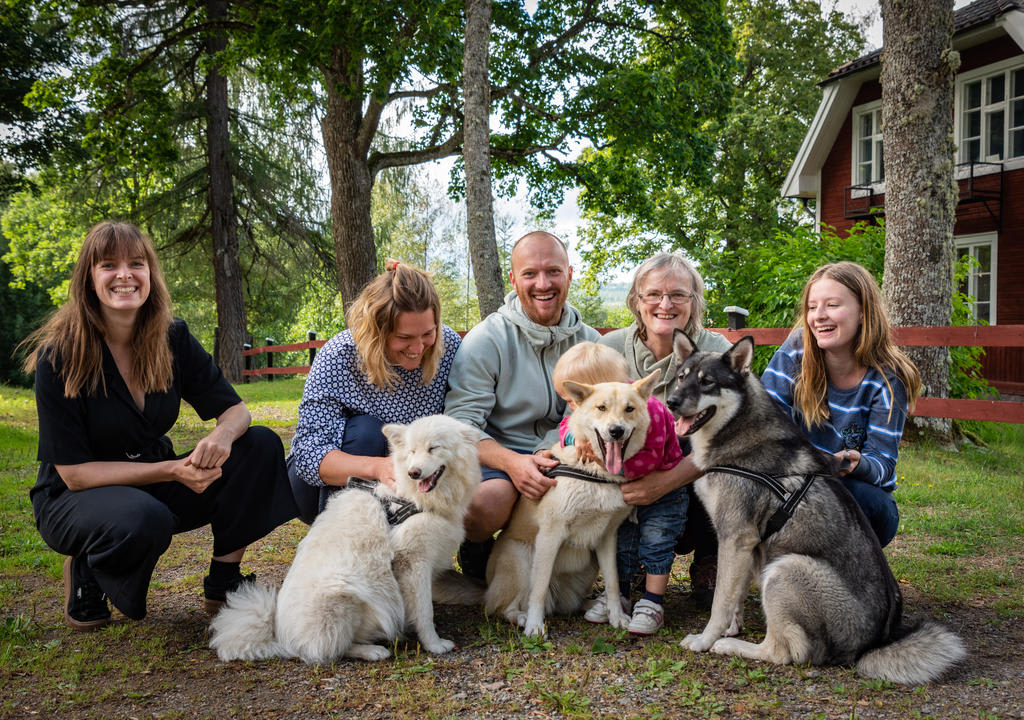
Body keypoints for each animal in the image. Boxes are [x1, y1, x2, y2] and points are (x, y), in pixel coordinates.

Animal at [209, 417, 481, 663]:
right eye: (412, 451)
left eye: (433, 448)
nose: (413, 472)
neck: (413, 500)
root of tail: (280, 636)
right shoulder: (414, 561)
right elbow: (425, 611)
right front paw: (434, 644)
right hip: (346, 595)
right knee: (331, 649)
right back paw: (373, 651)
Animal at [483, 372, 659, 634]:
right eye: (601, 408)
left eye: (629, 409)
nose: (616, 431)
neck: (596, 473)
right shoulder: (550, 535)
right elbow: (539, 588)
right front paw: (534, 625)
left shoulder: (608, 537)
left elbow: (614, 583)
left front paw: (616, 616)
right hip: (521, 558)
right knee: (503, 608)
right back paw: (522, 617)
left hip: (586, 569)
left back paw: (592, 606)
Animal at [667, 331, 962, 688]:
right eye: (681, 377)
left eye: (707, 382)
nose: (671, 402)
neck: (736, 430)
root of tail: (869, 646)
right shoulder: (747, 545)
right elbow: (733, 596)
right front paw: (732, 627)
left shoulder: (736, 538)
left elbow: (721, 603)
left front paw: (708, 639)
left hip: (784, 569)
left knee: (782, 653)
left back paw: (731, 647)